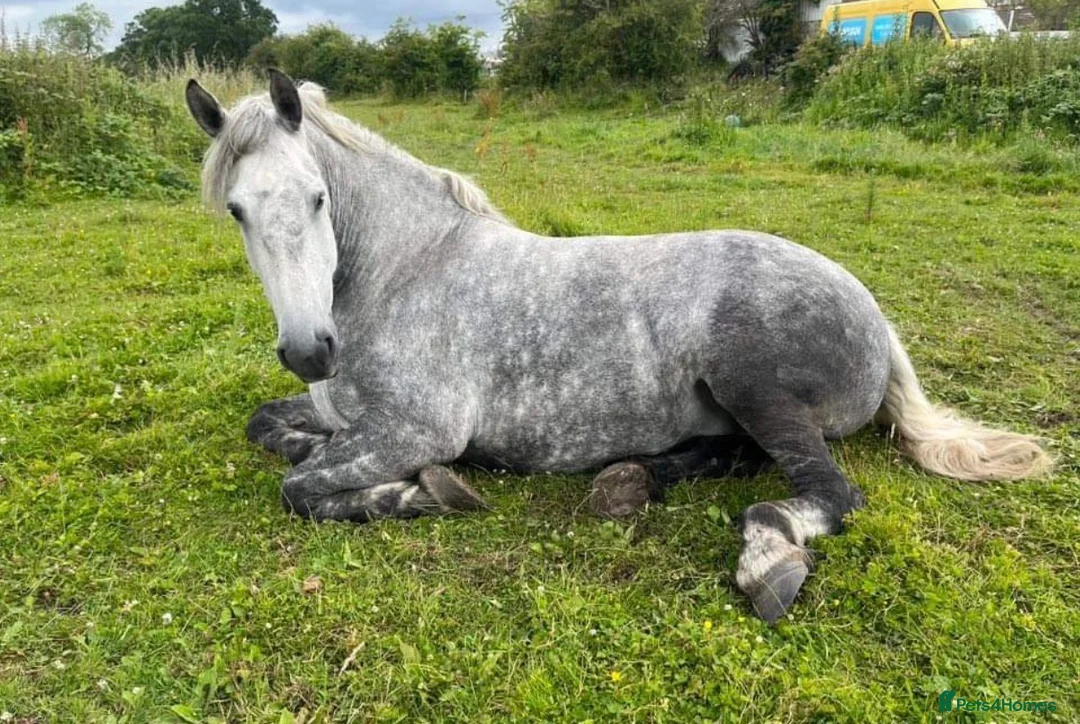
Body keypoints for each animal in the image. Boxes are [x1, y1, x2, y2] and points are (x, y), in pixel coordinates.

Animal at [184, 71, 1052, 622]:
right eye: (235, 209)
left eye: (317, 198)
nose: (310, 352)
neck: (407, 271)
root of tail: (873, 313)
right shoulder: (344, 415)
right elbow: (271, 429)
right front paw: (311, 442)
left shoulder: (416, 430)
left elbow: (299, 489)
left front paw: (423, 493)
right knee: (735, 456)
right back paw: (632, 480)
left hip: (751, 383)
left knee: (824, 491)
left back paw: (766, 559)